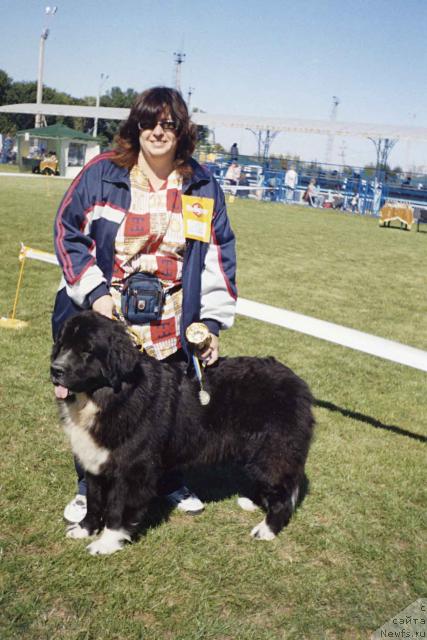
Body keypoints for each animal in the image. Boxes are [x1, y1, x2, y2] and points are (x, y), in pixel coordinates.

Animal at [51, 312, 316, 556]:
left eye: (87, 350)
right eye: (63, 345)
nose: (55, 370)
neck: (109, 397)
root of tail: (298, 383)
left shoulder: (132, 468)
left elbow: (118, 508)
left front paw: (106, 542)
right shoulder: (95, 460)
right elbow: (94, 499)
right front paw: (84, 528)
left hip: (273, 453)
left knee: (281, 495)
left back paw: (267, 529)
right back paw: (251, 502)